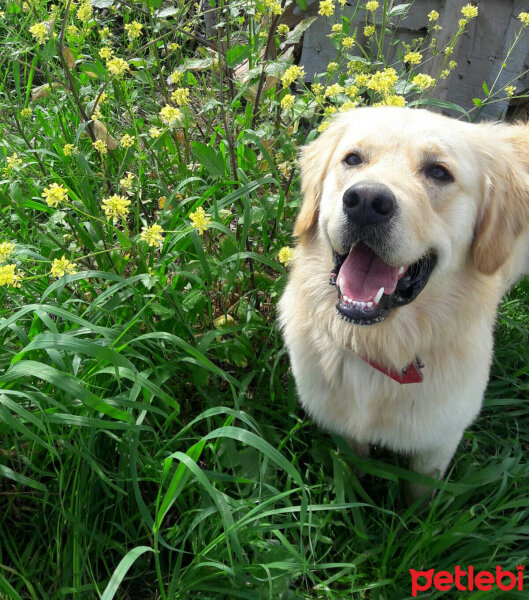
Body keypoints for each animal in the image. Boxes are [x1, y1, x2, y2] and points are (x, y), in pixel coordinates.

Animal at [276, 106, 528, 502]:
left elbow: (418, 497)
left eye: (439, 172)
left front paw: (412, 516)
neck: (380, 346)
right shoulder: (346, 430)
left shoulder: (437, 444)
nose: (365, 201)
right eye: (352, 159)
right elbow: (355, 474)